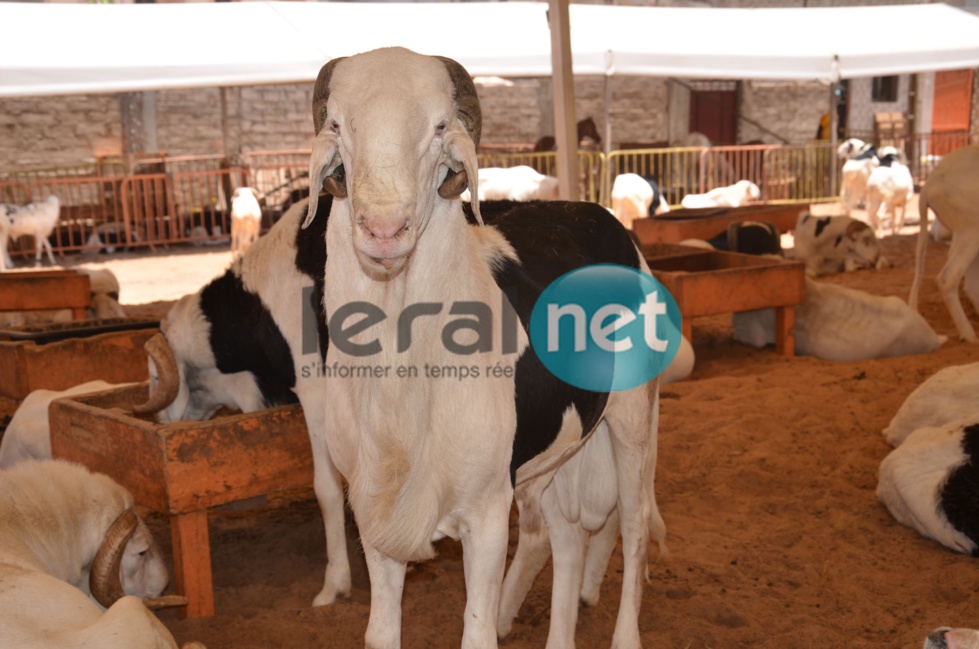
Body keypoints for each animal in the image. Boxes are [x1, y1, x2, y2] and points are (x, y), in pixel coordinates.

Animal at [306, 46, 668, 648]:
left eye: (439, 127)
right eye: (337, 124)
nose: (383, 229)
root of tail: (596, 212)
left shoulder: (487, 515)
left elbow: (476, 632)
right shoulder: (375, 512)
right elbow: (381, 633)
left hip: (633, 421)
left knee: (634, 528)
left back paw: (625, 636)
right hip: (554, 452)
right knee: (564, 539)